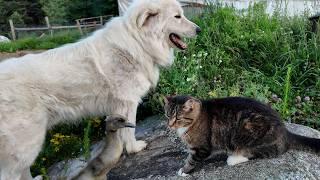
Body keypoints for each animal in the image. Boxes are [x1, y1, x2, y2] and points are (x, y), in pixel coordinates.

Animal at [0, 0, 200, 179]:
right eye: (177, 16)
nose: (199, 30)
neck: (138, 42)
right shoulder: (127, 103)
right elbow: (129, 129)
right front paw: (134, 148)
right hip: (26, 147)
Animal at [165, 95, 320, 176]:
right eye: (167, 115)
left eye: (178, 118)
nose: (170, 125)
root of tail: (285, 132)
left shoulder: (201, 148)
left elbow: (192, 159)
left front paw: (184, 170)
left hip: (250, 132)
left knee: (261, 152)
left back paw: (234, 159)